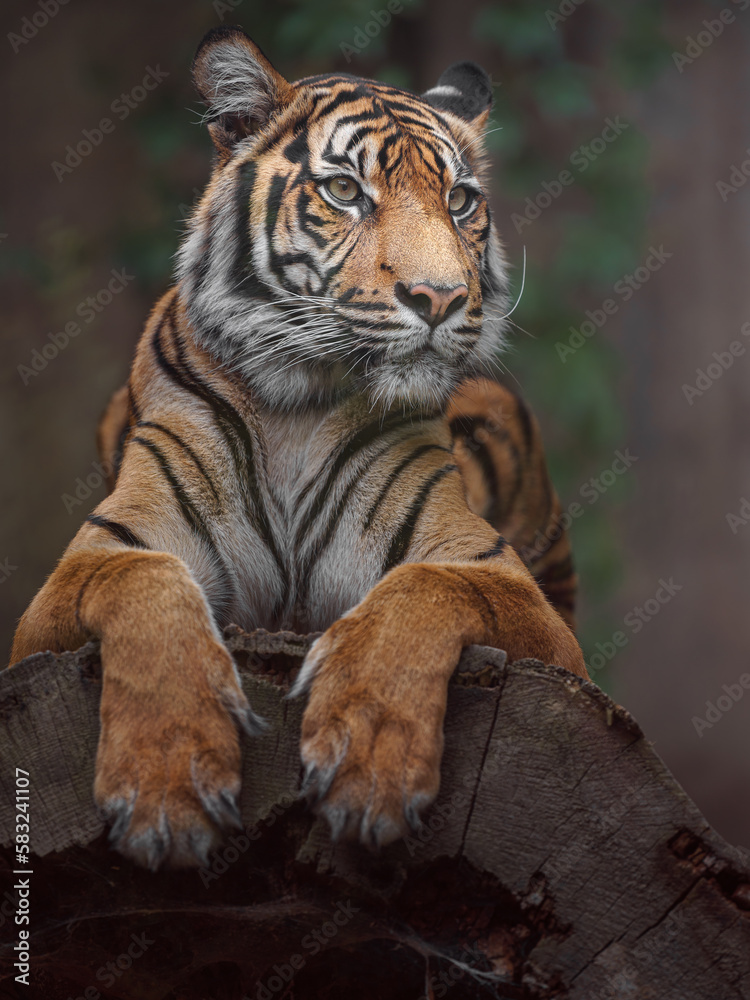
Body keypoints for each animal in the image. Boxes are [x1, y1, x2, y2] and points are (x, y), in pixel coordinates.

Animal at [10, 26, 586, 870]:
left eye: (459, 201)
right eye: (345, 191)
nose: (442, 297)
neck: (296, 405)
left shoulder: (508, 586)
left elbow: (424, 586)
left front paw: (369, 764)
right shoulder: (86, 567)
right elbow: (145, 580)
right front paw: (165, 788)